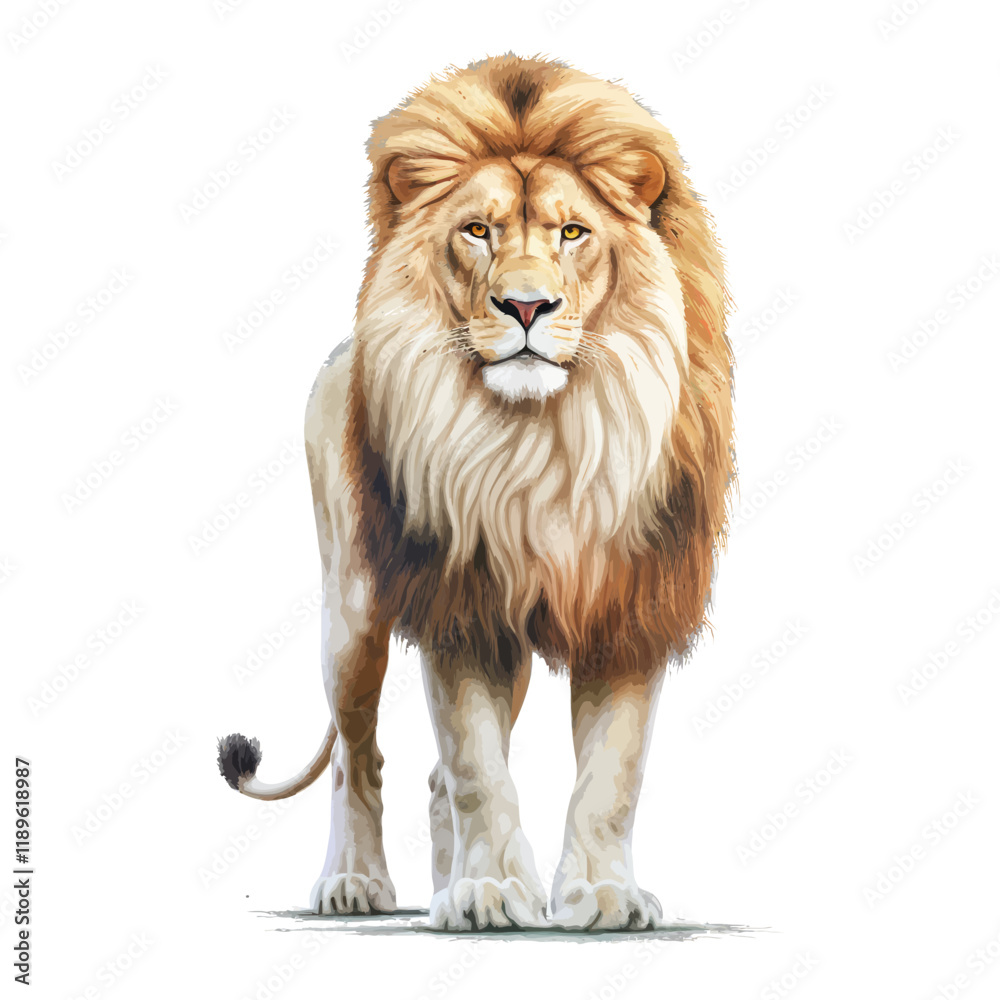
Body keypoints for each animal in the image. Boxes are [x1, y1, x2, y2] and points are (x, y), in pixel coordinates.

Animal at [217, 54, 734, 932]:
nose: (526, 305)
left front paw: (599, 895)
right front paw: (490, 893)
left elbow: (613, 774)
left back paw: (437, 885)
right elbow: (476, 767)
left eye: (572, 233)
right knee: (355, 755)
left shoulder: (630, 601)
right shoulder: (458, 601)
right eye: (477, 231)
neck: (541, 441)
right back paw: (353, 884)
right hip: (351, 613)